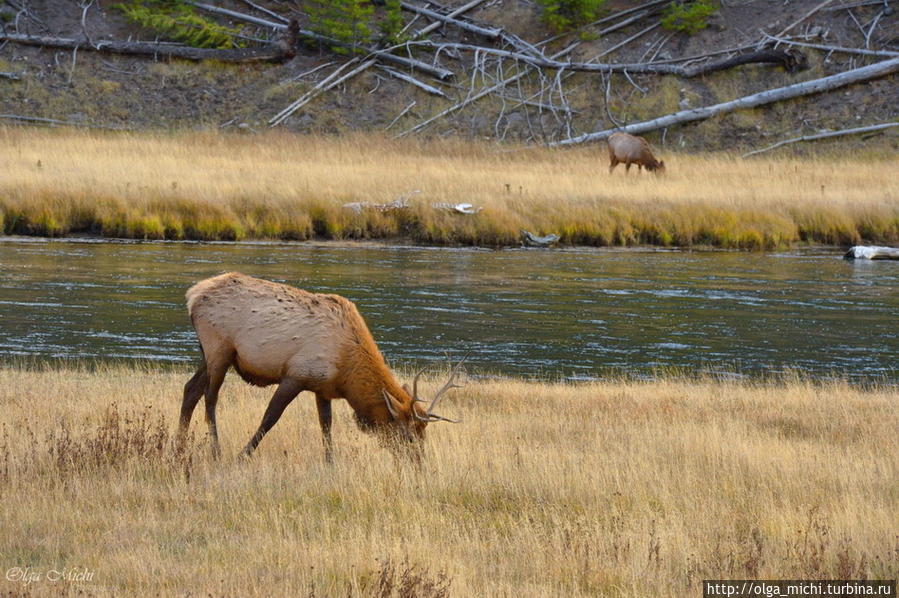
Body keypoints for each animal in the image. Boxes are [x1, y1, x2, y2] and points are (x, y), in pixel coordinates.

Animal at [178, 274, 468, 464]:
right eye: (409, 437)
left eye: (424, 435)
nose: (419, 464)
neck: (347, 372)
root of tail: (192, 295)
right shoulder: (296, 375)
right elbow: (269, 418)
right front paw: (242, 455)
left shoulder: (323, 387)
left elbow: (326, 426)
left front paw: (331, 462)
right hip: (220, 348)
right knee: (210, 397)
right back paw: (216, 450)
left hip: (209, 353)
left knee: (190, 389)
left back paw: (179, 445)